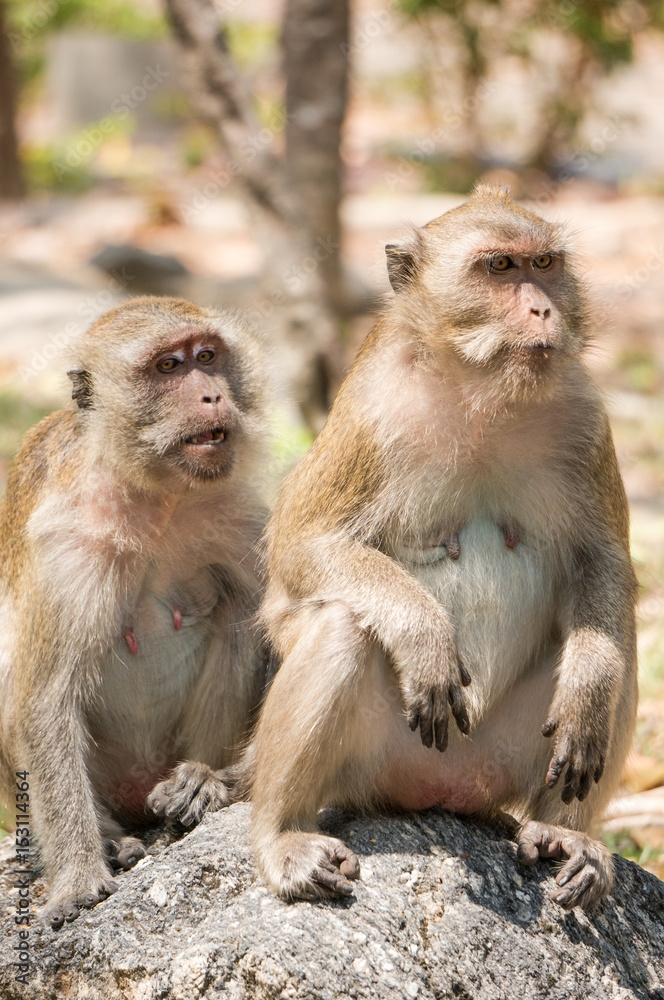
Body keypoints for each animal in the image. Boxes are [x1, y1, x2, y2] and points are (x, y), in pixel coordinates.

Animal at [0, 296, 270, 928]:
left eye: (207, 356)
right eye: (168, 367)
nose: (211, 395)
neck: (156, 496)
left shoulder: (242, 519)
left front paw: (212, 782)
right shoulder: (67, 543)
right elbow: (44, 700)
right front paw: (77, 877)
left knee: (240, 614)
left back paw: (194, 783)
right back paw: (108, 839)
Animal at [245, 184, 640, 912]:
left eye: (544, 264)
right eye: (500, 268)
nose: (543, 308)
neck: (480, 389)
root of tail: (445, 792)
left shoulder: (585, 416)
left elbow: (603, 564)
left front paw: (590, 688)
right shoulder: (369, 416)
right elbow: (301, 550)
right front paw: (423, 633)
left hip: (505, 760)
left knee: (618, 644)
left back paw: (563, 831)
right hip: (379, 762)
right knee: (343, 624)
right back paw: (281, 835)